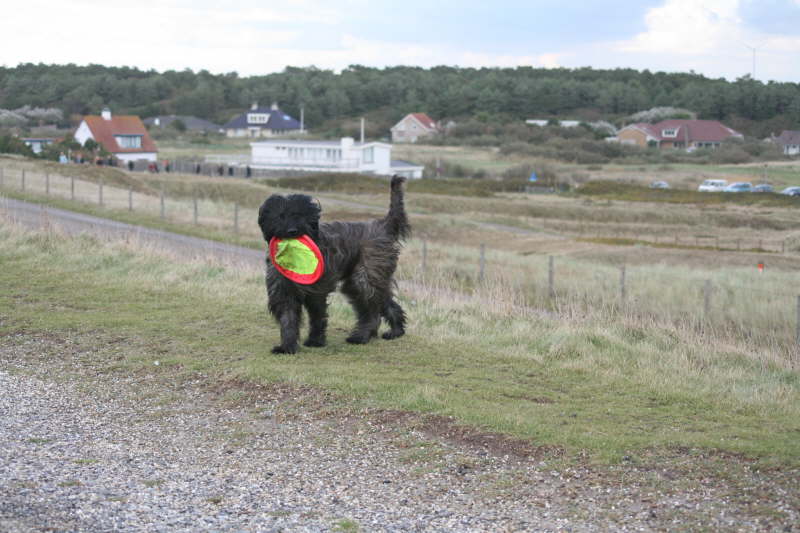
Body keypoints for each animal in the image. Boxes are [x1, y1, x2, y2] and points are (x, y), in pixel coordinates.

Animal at [260, 175, 410, 356]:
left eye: (300, 215)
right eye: (281, 216)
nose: (292, 231)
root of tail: (383, 225)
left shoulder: (317, 291)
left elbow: (318, 316)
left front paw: (315, 341)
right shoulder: (284, 291)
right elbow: (288, 319)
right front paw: (287, 346)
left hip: (365, 276)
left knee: (372, 309)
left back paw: (362, 336)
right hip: (364, 281)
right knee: (382, 301)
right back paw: (395, 330)